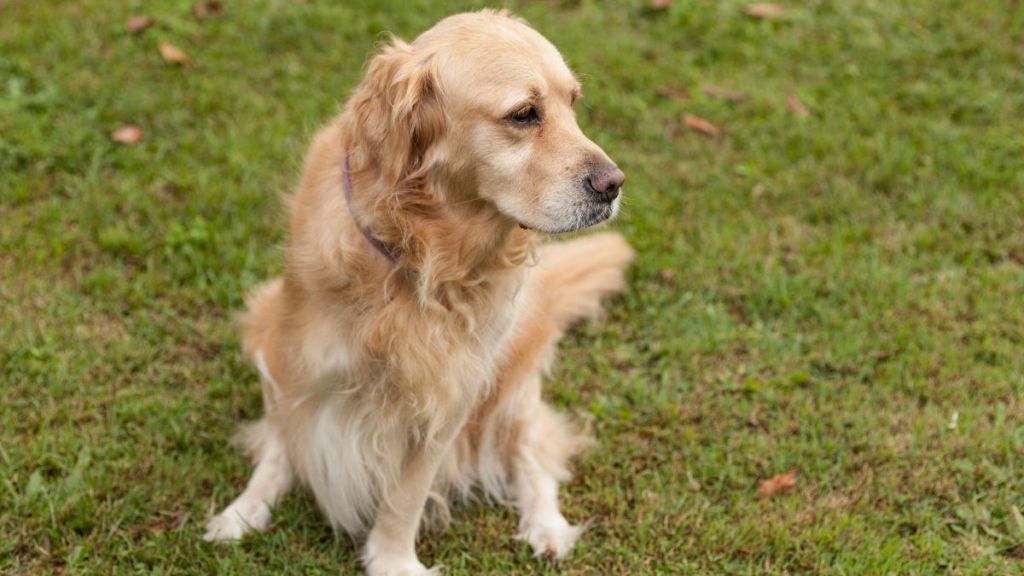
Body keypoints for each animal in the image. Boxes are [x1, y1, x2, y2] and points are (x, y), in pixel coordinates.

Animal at [201, 10, 630, 573]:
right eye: (523, 114)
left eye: (573, 103)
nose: (614, 183)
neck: (424, 257)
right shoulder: (294, 357)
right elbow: (282, 446)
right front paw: (247, 508)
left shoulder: (451, 394)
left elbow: (405, 496)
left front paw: (392, 560)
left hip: (515, 381)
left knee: (531, 451)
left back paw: (548, 526)